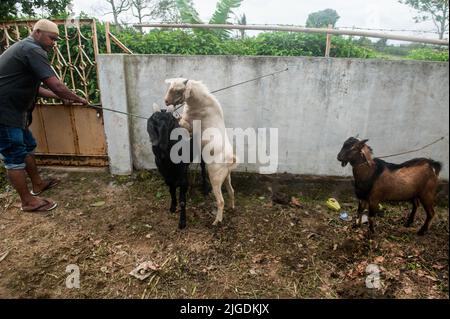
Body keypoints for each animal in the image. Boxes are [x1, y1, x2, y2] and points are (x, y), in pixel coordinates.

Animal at [163, 78, 237, 226]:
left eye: (178, 90)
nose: (166, 101)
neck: (201, 101)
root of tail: (229, 161)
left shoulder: (188, 123)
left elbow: (180, 122)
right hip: (226, 177)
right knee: (231, 191)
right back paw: (232, 207)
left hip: (215, 177)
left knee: (221, 201)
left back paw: (217, 221)